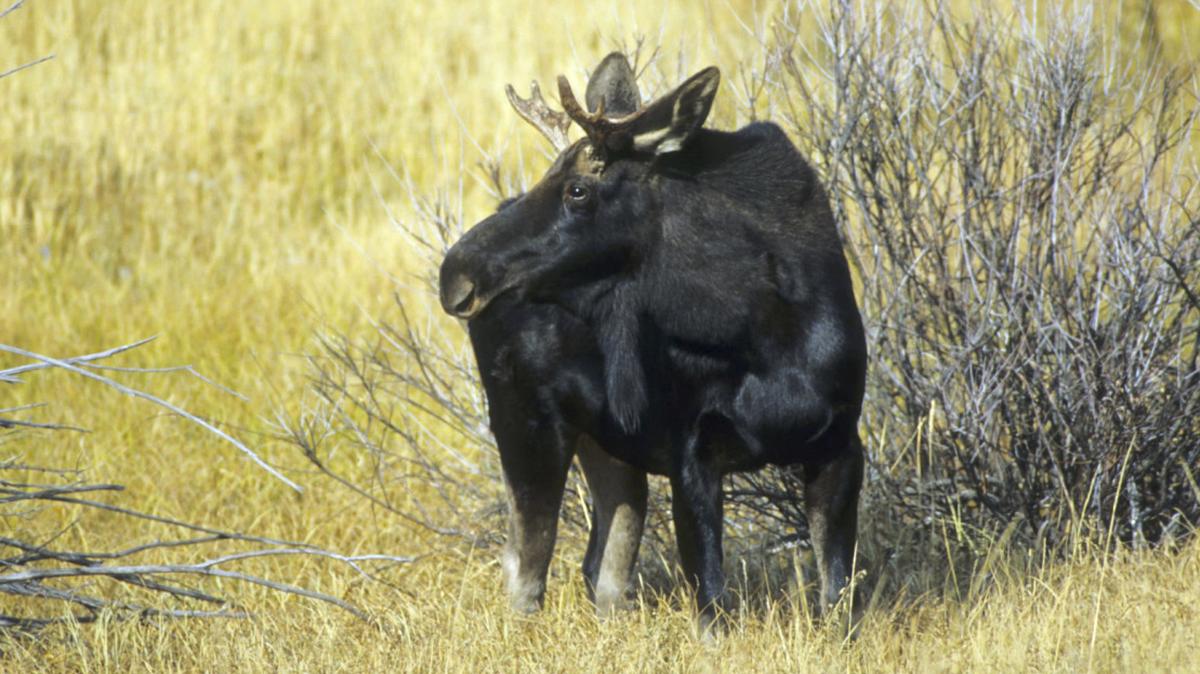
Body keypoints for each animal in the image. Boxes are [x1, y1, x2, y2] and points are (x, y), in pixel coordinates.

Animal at [438, 52, 866, 633]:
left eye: (578, 189)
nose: (455, 274)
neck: (766, 334)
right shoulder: (691, 452)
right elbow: (711, 605)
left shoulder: (841, 443)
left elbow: (838, 597)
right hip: (524, 420)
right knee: (526, 567)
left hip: (608, 446)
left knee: (603, 566)